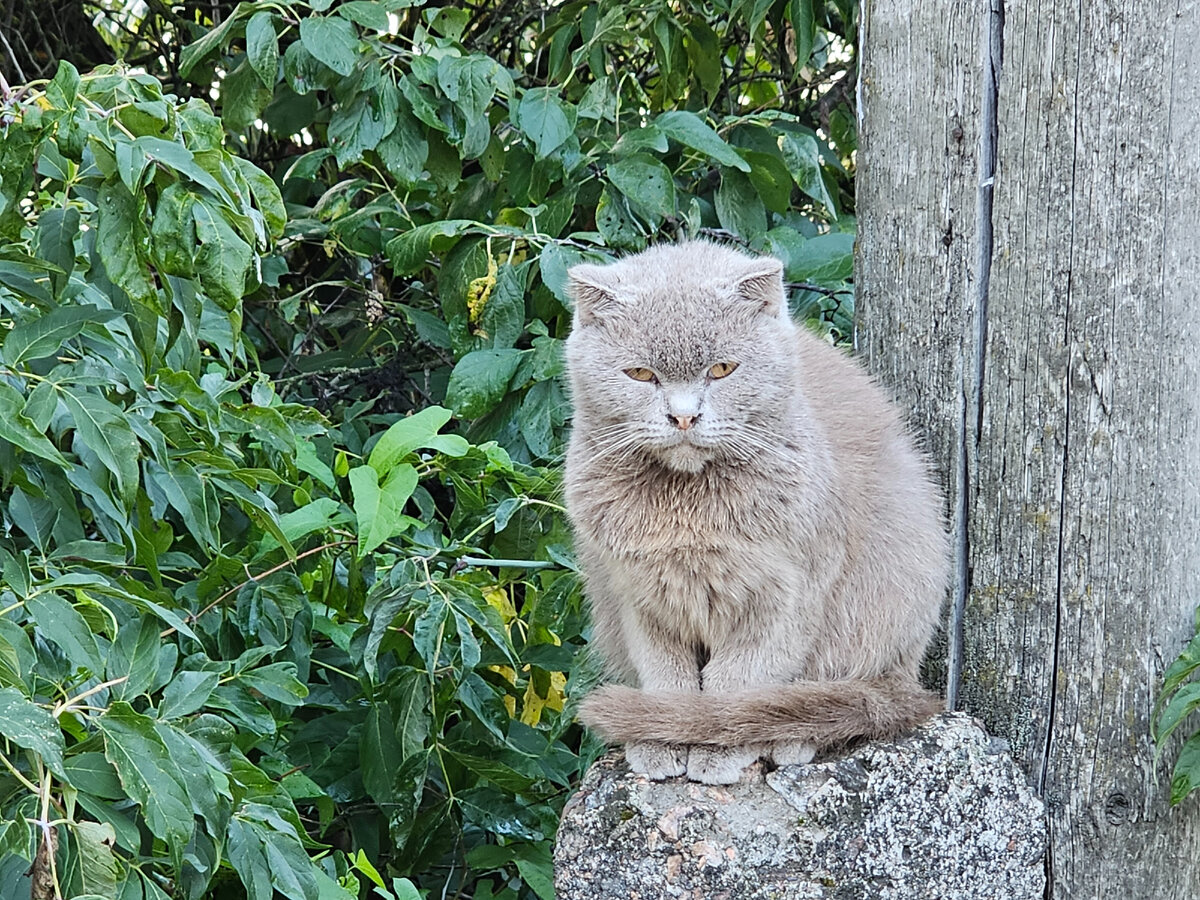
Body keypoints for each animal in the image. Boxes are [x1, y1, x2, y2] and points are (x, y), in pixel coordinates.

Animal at [566, 243, 950, 787]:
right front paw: (661, 740)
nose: (684, 416)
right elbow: (666, 675)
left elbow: (737, 682)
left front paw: (715, 748)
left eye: (722, 369)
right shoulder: (637, 596)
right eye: (641, 374)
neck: (689, 511)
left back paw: (789, 738)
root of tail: (911, 674)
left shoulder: (786, 595)